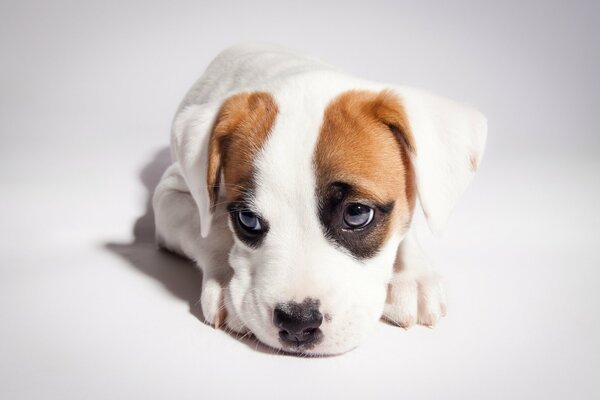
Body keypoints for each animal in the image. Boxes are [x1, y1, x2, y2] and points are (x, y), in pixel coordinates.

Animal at [152, 43, 486, 356]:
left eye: (357, 214)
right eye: (247, 220)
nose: (297, 324)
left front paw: (411, 275)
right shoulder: (170, 193)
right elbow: (212, 230)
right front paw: (225, 282)